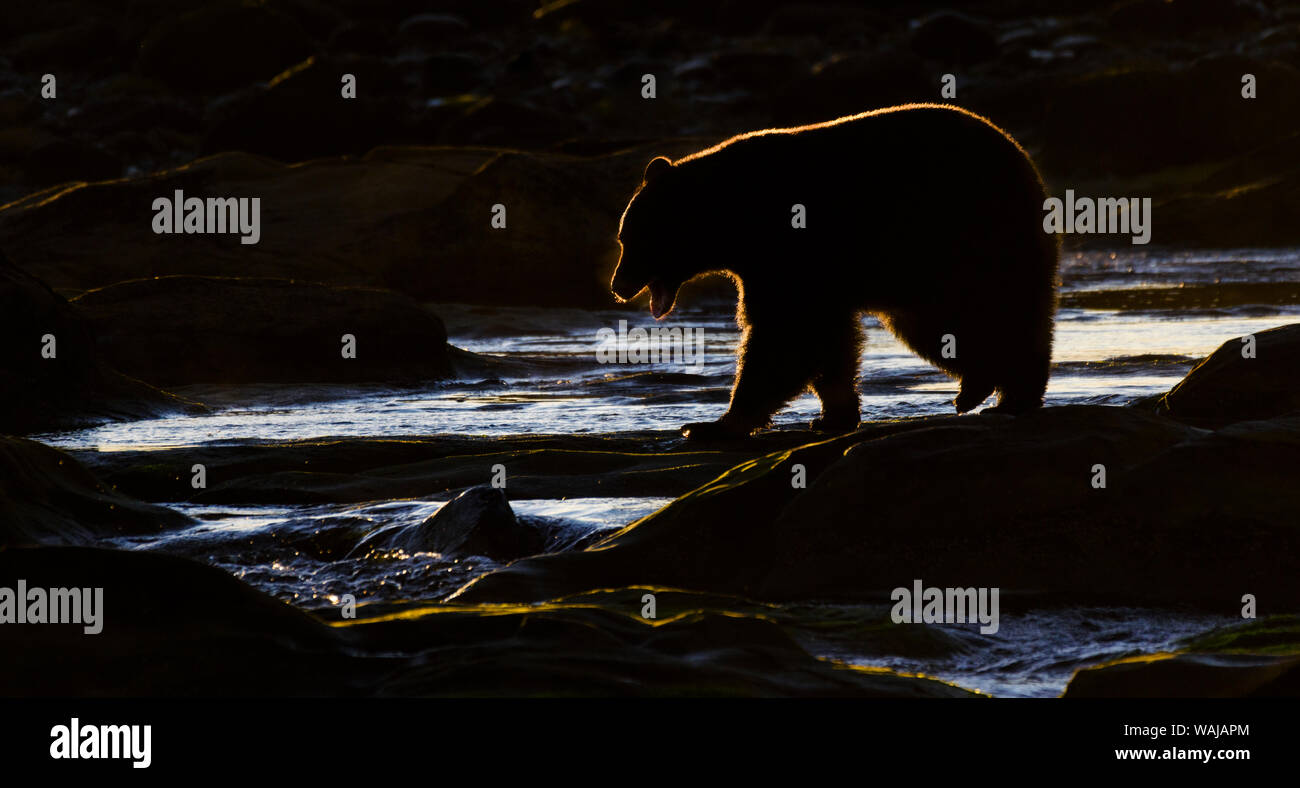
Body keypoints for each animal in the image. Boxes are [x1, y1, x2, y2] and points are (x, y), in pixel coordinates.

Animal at [608, 102, 1055, 442]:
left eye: (631, 241)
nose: (618, 285)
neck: (738, 222)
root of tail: (1025, 160)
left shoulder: (788, 249)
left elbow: (786, 334)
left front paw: (712, 425)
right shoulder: (797, 270)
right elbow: (827, 339)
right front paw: (831, 415)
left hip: (970, 239)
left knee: (990, 313)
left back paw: (1009, 397)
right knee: (936, 326)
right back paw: (977, 388)